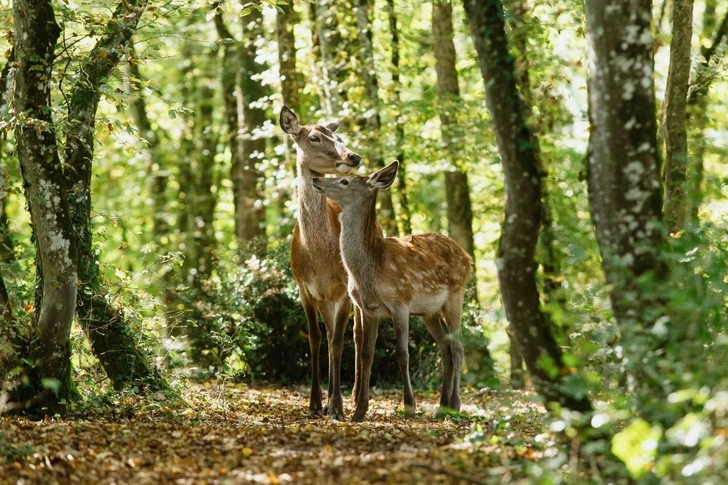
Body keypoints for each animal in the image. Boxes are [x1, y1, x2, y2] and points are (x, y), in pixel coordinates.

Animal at [278, 106, 362, 420]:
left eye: (339, 136)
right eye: (314, 137)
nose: (353, 156)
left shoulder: (343, 289)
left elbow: (338, 343)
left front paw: (337, 406)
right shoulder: (304, 289)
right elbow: (315, 339)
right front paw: (315, 403)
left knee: (357, 335)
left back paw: (355, 396)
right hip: (325, 300)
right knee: (327, 334)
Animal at [312, 161, 472, 422]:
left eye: (345, 181)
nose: (316, 179)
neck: (371, 269)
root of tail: (468, 258)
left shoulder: (400, 303)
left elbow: (402, 353)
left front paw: (409, 407)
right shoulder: (369, 309)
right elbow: (366, 354)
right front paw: (359, 411)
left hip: (456, 295)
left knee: (458, 346)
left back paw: (456, 405)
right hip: (429, 312)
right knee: (445, 347)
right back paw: (442, 407)